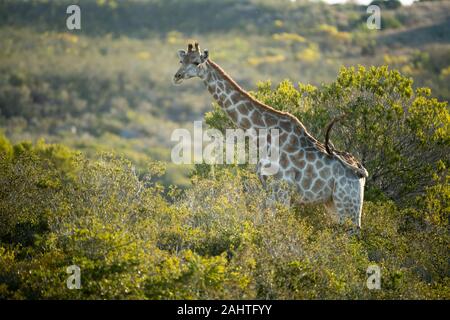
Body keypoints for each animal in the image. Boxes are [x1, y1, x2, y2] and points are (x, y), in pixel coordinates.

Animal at [173, 42, 370, 228]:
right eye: (181, 61)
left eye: (196, 62)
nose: (177, 76)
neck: (263, 135)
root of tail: (361, 173)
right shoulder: (268, 190)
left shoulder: (282, 190)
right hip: (333, 204)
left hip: (347, 203)